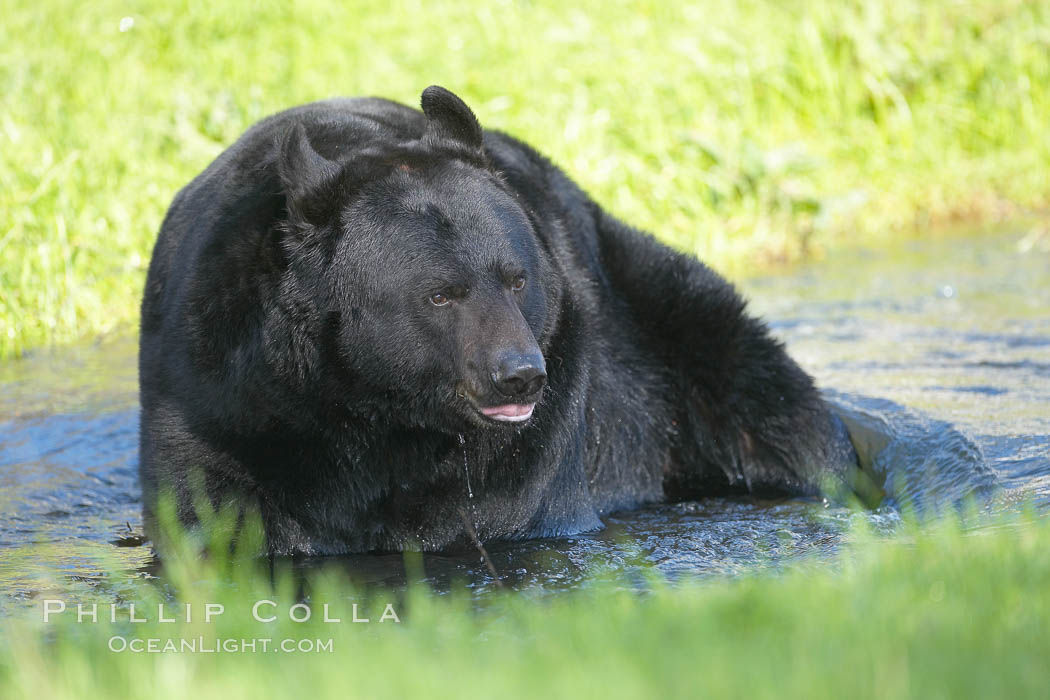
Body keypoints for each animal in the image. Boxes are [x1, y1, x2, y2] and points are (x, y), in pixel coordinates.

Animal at [137, 85, 860, 554]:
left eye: (517, 278)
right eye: (440, 294)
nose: (519, 376)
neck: (369, 414)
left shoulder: (540, 428)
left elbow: (497, 515)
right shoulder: (218, 397)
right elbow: (211, 509)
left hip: (666, 326)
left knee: (774, 411)